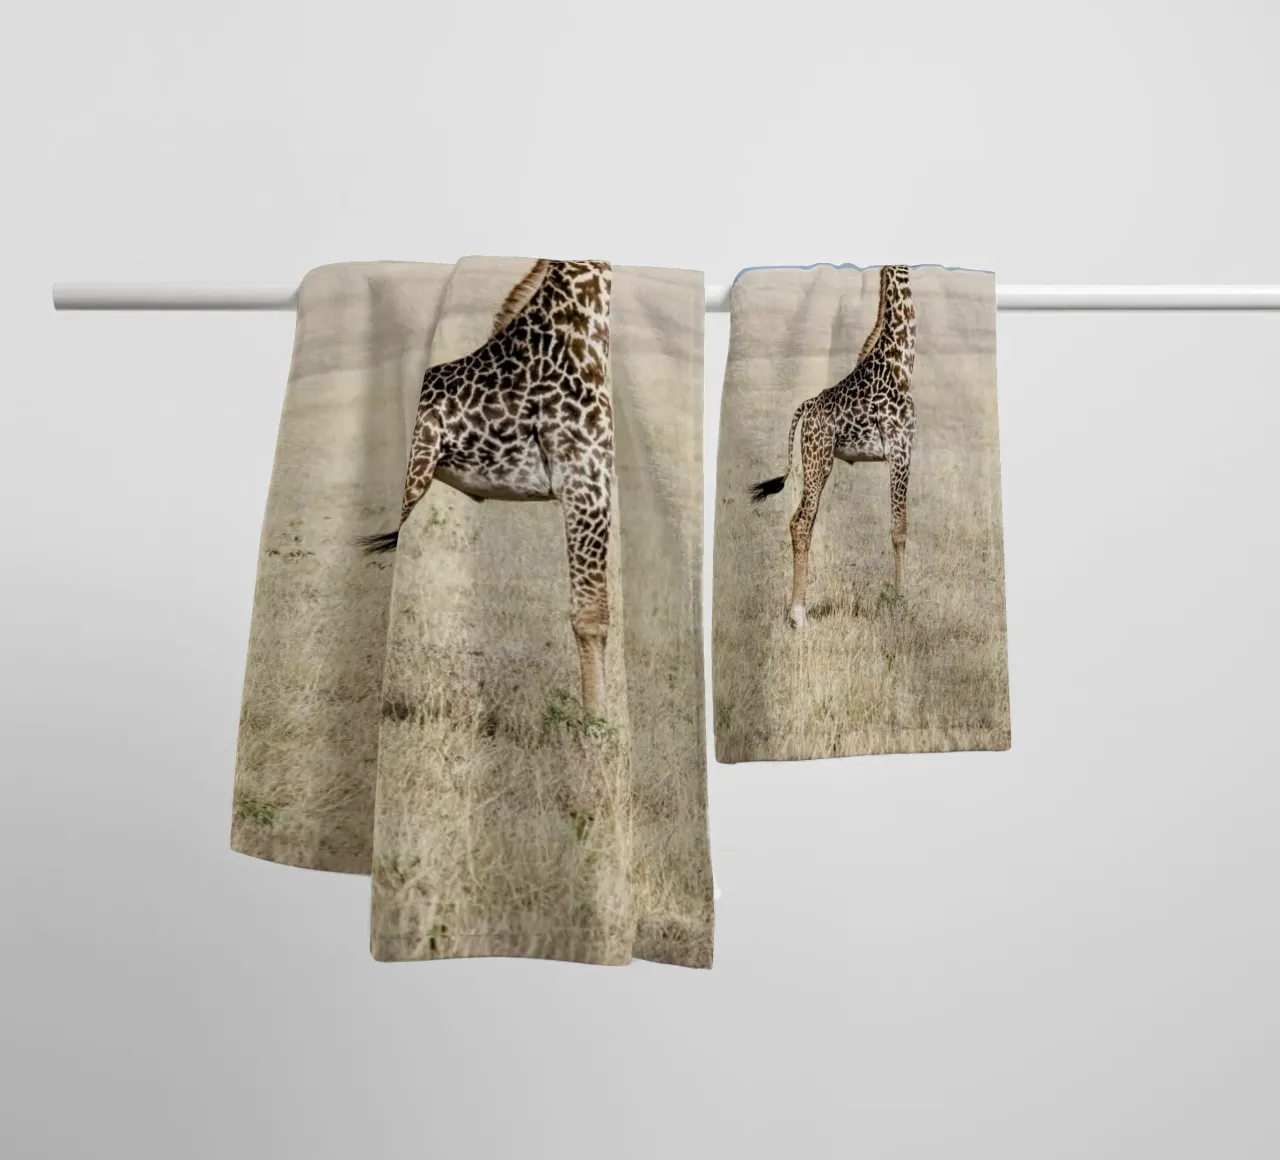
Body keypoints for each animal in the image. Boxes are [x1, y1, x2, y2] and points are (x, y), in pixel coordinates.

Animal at [749, 264, 917, 629]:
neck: (902, 361)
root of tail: (808, 406)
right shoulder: (901, 450)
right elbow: (899, 528)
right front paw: (901, 600)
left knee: (803, 522)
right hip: (818, 459)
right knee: (801, 522)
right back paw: (797, 615)